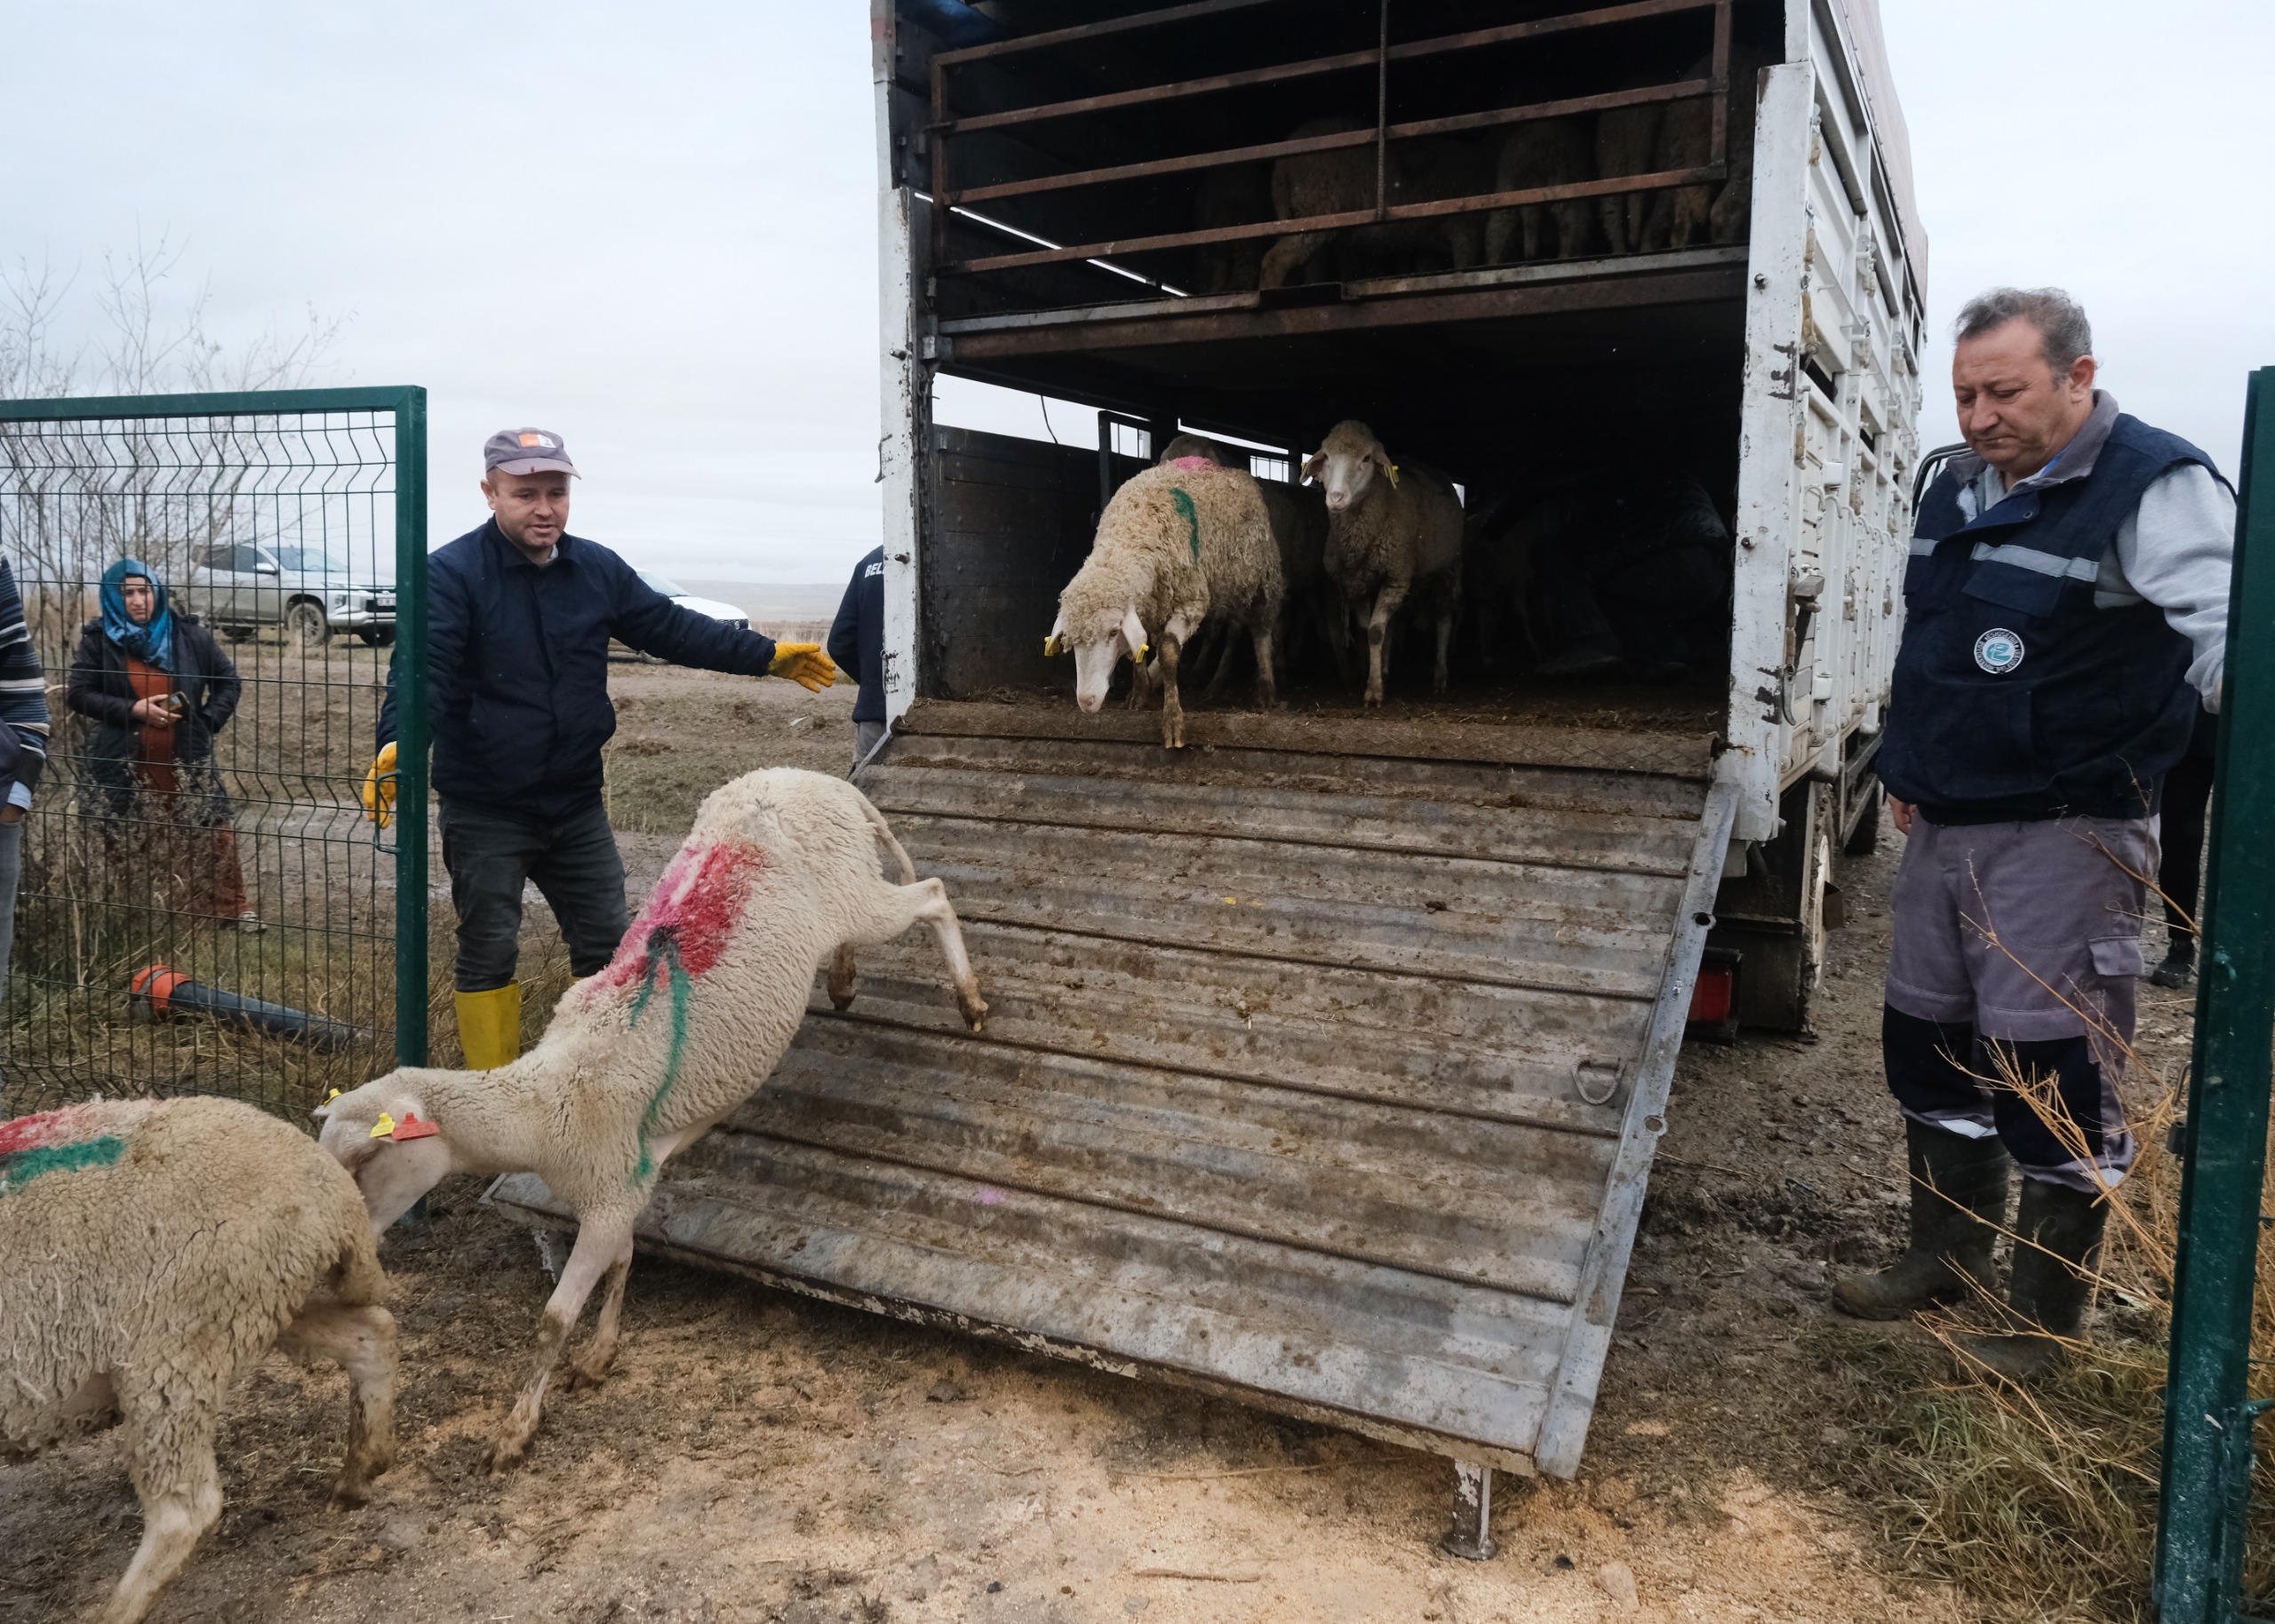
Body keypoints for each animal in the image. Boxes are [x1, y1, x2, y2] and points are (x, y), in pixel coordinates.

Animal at [2, 1087, 395, 1619]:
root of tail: (332, 1189)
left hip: (175, 1341)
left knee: (186, 1511)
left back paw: (118, 1610)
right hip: (258, 1300)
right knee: (374, 1335)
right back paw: (359, 1474)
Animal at [314, 764, 987, 1474]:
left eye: (367, 1157)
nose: (339, 1260)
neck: (545, 1103)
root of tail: (816, 779)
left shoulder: (610, 1193)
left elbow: (553, 1320)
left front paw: (516, 1430)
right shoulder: (626, 1189)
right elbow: (624, 1260)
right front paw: (601, 1355)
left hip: (854, 892)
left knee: (932, 895)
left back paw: (969, 1000)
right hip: (848, 887)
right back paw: (844, 978)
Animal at [1042, 448, 1282, 741]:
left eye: (1113, 632)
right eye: (1071, 640)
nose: (1087, 702)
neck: (1133, 531)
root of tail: (1237, 473)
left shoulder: (1190, 601)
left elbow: (1169, 652)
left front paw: (1173, 719)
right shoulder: (1147, 606)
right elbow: (1139, 650)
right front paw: (1140, 693)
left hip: (1259, 581)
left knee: (1258, 631)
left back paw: (1265, 689)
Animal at [1310, 418, 1465, 700]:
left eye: (1366, 458)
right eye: (1325, 456)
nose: (1336, 497)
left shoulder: (1395, 578)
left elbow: (1375, 632)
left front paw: (1373, 691)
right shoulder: (1357, 582)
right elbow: (1366, 630)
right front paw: (1372, 675)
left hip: (1448, 566)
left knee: (1443, 618)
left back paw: (1439, 677)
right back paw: (1385, 668)